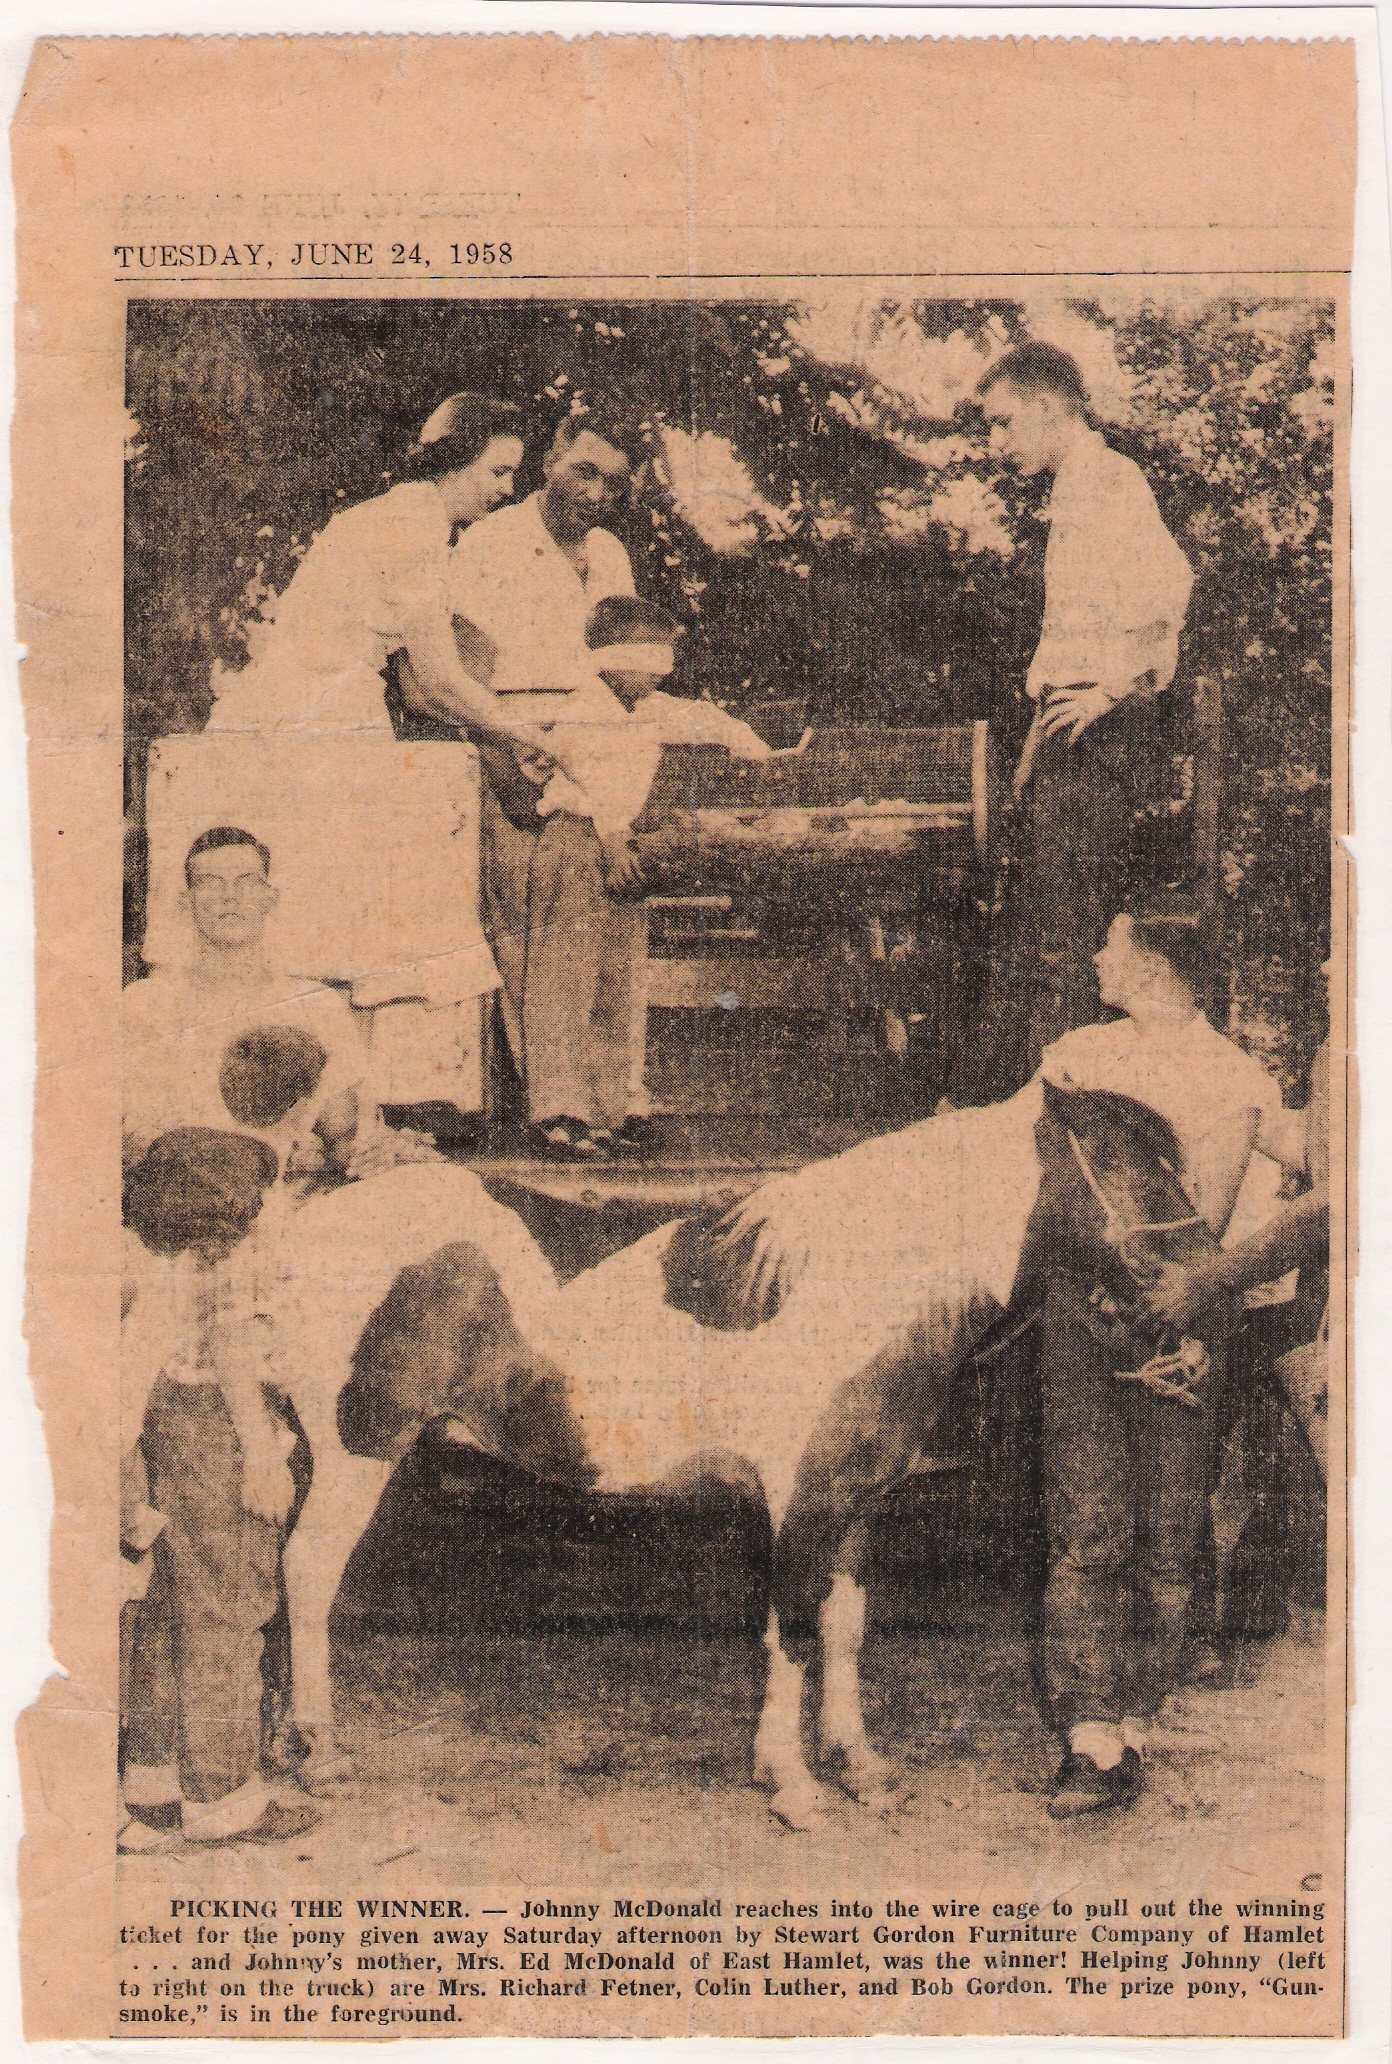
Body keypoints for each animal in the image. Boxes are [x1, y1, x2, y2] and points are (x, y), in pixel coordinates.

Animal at [274, 1081, 1222, 1824]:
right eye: (1130, 1163)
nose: (1214, 1278)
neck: (853, 1287)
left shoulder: (857, 1499)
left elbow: (843, 1626)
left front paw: (858, 1766)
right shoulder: (802, 1499)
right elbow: (791, 1629)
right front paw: (791, 1783)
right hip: (360, 1448)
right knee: (308, 1573)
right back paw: (316, 1749)